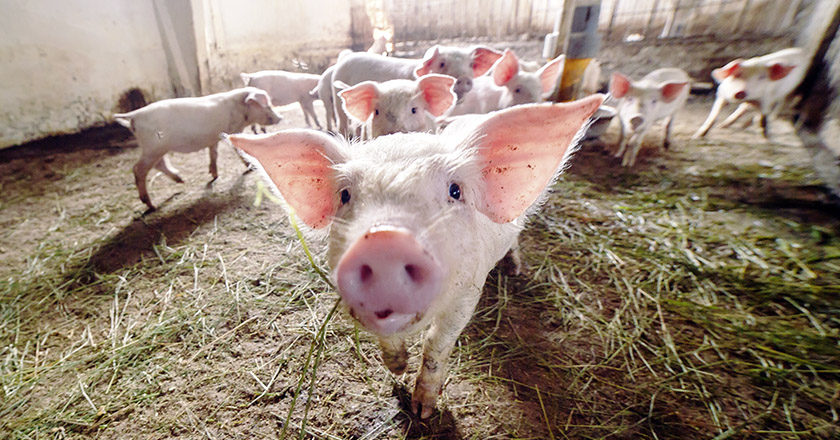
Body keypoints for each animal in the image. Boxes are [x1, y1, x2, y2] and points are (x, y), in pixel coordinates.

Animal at [114, 87, 281, 210]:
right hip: (153, 147)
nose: (280, 118)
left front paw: (214, 175)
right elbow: (237, 149)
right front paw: (249, 167)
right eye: (265, 104)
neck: (240, 109)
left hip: (156, 148)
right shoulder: (234, 129)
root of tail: (135, 115)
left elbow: (213, 153)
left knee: (159, 164)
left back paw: (180, 180)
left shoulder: (214, 138)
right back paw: (151, 205)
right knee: (138, 169)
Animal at [227, 94, 605, 418]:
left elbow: (437, 344)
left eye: (455, 190)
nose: (384, 241)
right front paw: (397, 369)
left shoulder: (469, 292)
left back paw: (513, 269)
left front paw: (423, 411)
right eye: (345, 195)